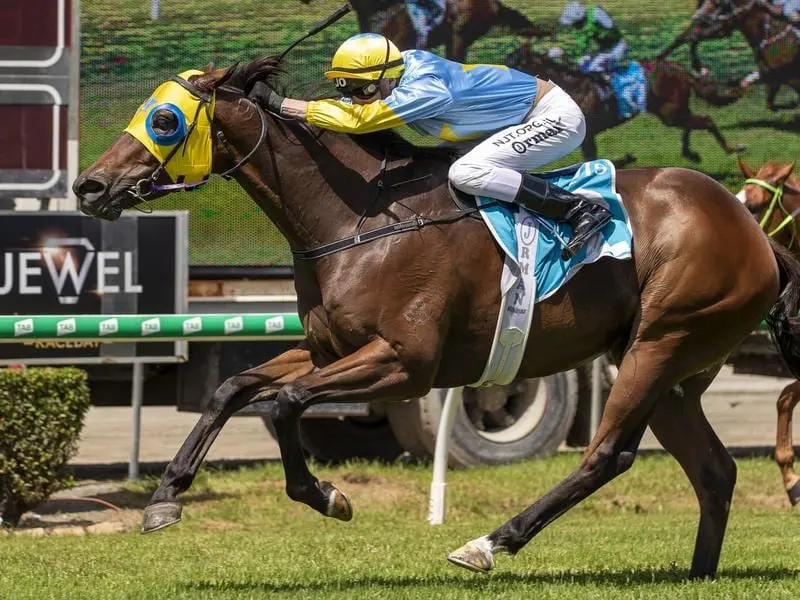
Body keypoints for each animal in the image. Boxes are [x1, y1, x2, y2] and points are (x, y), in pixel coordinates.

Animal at [73, 58, 800, 580]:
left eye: (165, 121)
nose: (89, 185)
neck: (358, 220)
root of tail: (756, 233)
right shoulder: (329, 347)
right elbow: (233, 388)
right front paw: (165, 497)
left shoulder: (406, 362)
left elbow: (285, 404)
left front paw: (328, 496)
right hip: (674, 369)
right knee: (715, 470)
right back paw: (698, 572)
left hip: (661, 340)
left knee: (608, 454)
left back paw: (488, 542)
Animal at [506, 43, 744, 163]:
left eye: (514, 63)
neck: (571, 88)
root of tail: (678, 68)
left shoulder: (587, 134)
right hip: (672, 110)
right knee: (694, 122)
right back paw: (690, 153)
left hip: (670, 111)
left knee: (705, 120)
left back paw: (732, 148)